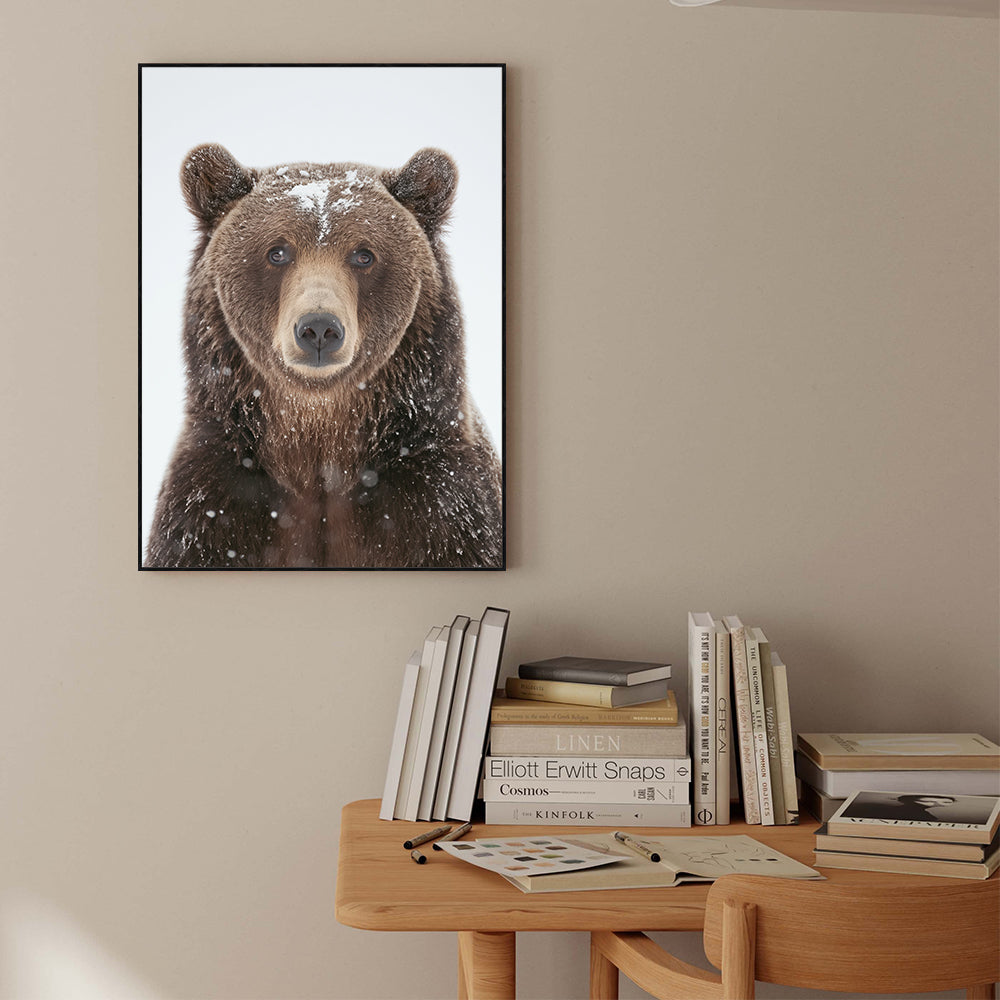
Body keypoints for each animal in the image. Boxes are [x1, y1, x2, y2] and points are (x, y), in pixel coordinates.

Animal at [144, 144, 503, 569]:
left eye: (364, 255)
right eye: (277, 252)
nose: (318, 328)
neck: (318, 448)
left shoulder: (442, 502)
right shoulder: (214, 503)